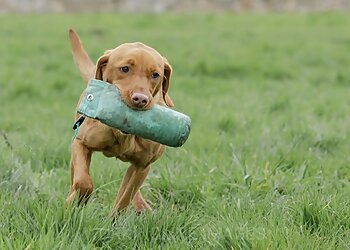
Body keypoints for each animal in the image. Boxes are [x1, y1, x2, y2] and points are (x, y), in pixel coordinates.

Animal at [65, 28, 174, 214]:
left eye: (155, 75)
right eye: (124, 68)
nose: (140, 99)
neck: (123, 134)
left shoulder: (142, 166)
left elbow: (124, 200)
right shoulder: (80, 143)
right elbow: (82, 182)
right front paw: (75, 201)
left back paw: (142, 206)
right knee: (75, 178)